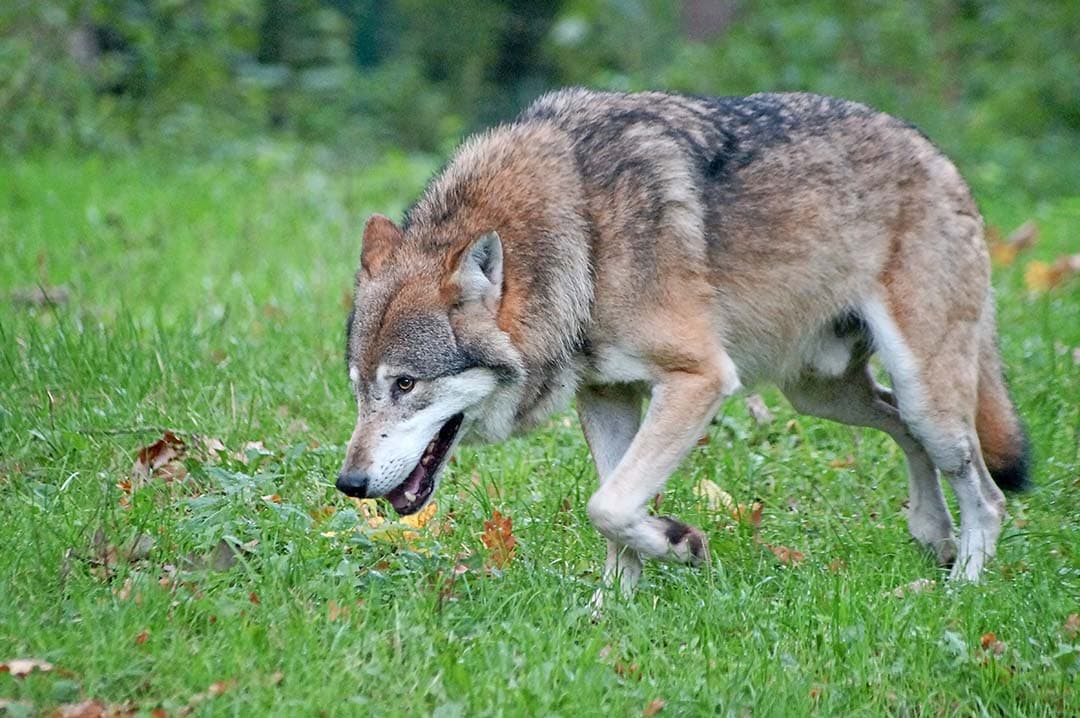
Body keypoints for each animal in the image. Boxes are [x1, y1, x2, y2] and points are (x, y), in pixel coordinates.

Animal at [338, 88, 1028, 593]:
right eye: (359, 390)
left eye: (405, 384)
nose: (348, 484)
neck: (584, 242)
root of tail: (938, 156)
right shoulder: (607, 395)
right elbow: (613, 510)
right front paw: (610, 609)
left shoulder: (700, 378)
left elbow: (608, 506)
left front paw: (681, 544)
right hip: (823, 395)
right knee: (903, 430)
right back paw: (933, 534)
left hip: (922, 392)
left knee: (988, 494)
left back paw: (963, 588)